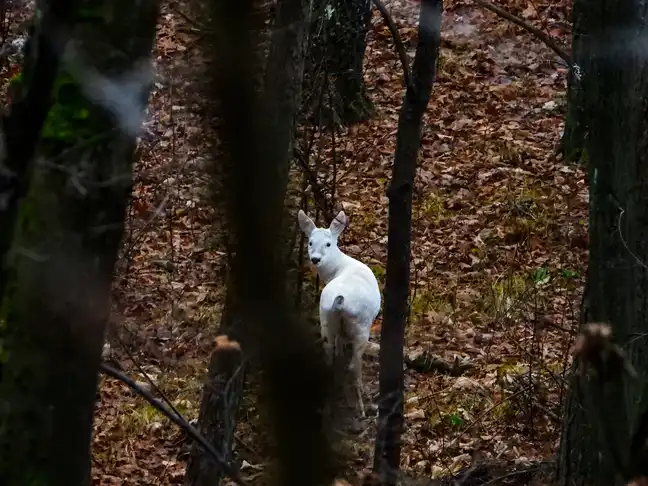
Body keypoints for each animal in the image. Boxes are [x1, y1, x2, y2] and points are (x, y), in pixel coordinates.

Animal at [298, 207, 382, 416]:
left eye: (328, 243)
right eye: (310, 242)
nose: (315, 259)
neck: (339, 267)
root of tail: (340, 304)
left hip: (325, 319)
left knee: (329, 358)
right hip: (361, 325)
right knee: (354, 365)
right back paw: (360, 406)